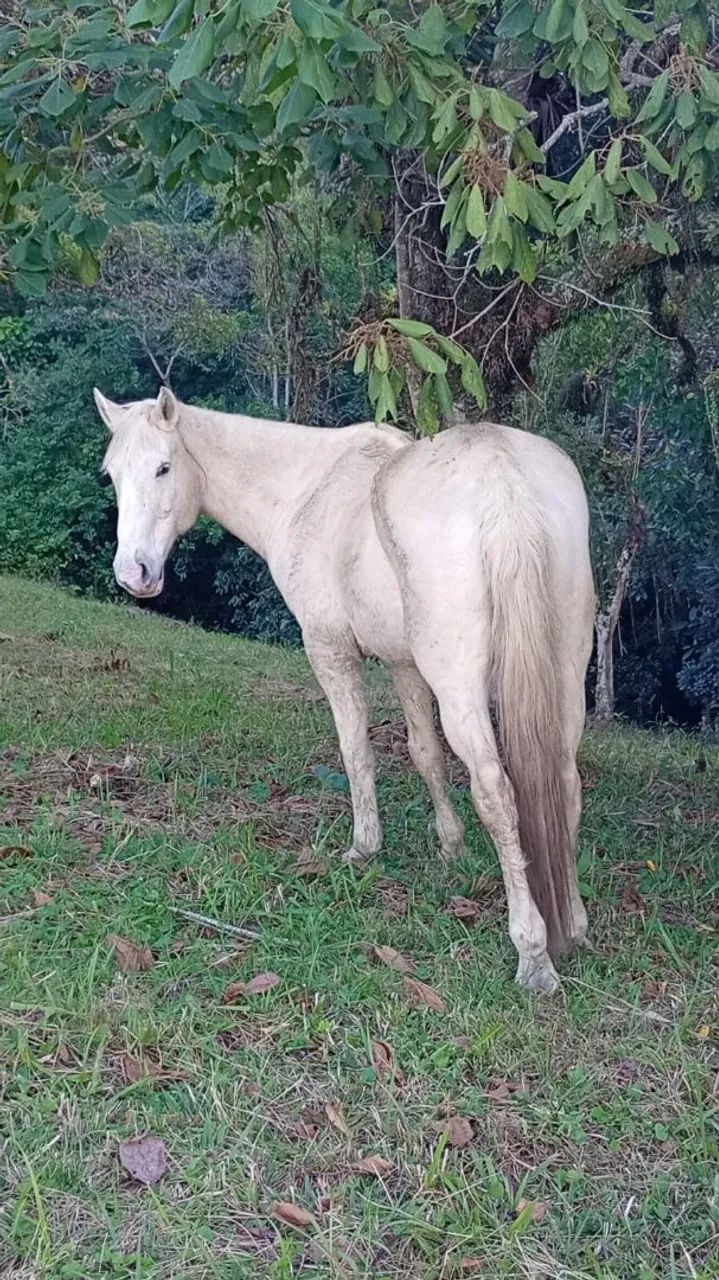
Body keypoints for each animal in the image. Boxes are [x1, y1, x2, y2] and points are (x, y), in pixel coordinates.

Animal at [94, 386, 595, 994]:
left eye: (164, 467)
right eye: (112, 474)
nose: (134, 574)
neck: (308, 489)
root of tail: (503, 482)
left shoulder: (331, 652)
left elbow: (357, 752)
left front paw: (364, 847)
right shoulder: (405, 666)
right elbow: (425, 753)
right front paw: (450, 846)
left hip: (463, 691)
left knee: (496, 794)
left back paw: (533, 952)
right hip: (563, 679)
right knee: (564, 781)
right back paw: (574, 923)